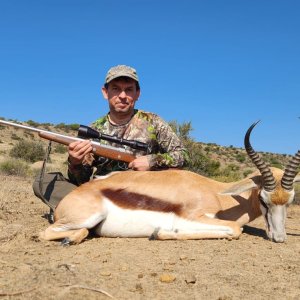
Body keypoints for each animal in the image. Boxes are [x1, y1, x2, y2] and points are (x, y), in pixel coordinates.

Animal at [39, 121, 300, 244]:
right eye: (263, 199)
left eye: (290, 201)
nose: (279, 238)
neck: (215, 192)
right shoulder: (193, 217)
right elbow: (236, 229)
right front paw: (161, 232)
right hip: (88, 216)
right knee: (44, 234)